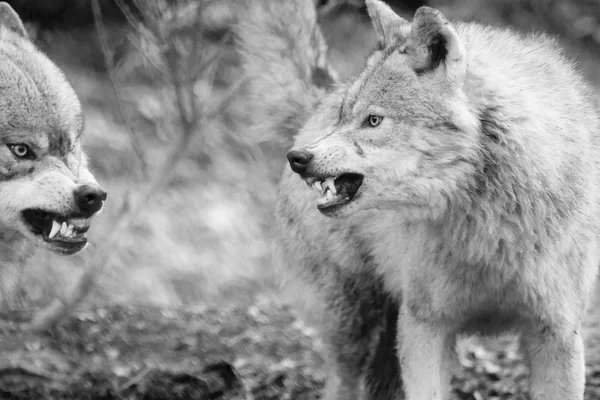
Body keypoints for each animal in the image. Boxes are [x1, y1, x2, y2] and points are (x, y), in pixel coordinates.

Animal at [270, 0, 600, 396]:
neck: (489, 227)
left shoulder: (558, 333)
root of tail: (318, 103)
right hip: (354, 324)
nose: (297, 158)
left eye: (373, 120)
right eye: (344, 117)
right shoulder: (423, 326)